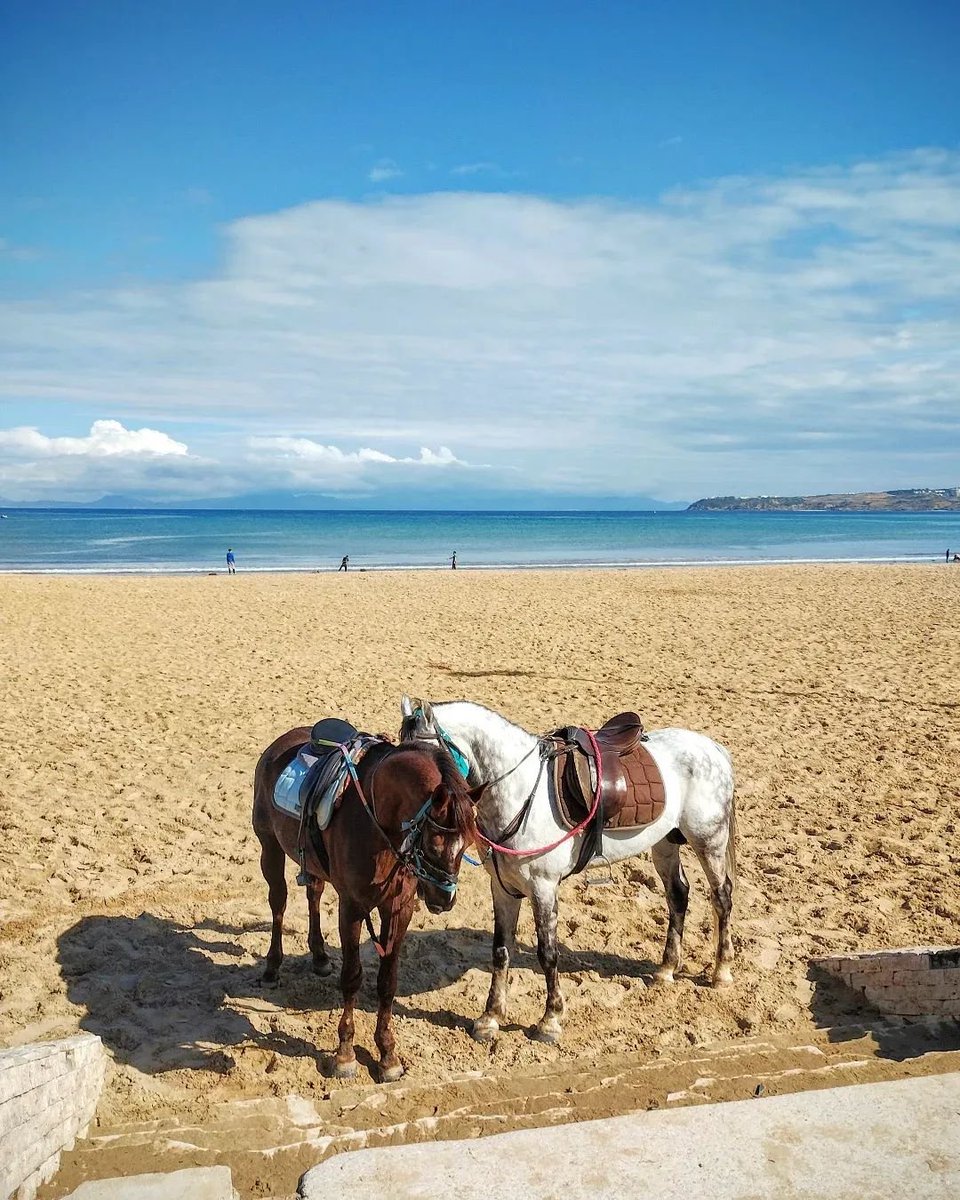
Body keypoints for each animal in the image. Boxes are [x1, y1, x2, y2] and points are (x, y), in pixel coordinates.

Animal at [252, 723, 480, 1081]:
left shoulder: (399, 909)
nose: (444, 898)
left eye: (468, 842)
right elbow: (352, 977)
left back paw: (319, 956)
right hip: (269, 847)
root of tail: (282, 742)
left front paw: (387, 1054)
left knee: (313, 894)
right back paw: (273, 966)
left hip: (312, 865)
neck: (381, 824)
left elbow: (388, 982)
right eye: (433, 841)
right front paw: (345, 1054)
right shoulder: (352, 908)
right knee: (279, 903)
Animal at [399, 696, 737, 1046]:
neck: (521, 790)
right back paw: (667, 969)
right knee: (677, 894)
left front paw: (550, 1021)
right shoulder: (503, 887)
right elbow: (500, 950)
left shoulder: (543, 887)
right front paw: (490, 1018)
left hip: (709, 840)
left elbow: (548, 953)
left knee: (721, 897)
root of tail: (713, 747)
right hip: (665, 842)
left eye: (427, 762)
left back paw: (722, 971)